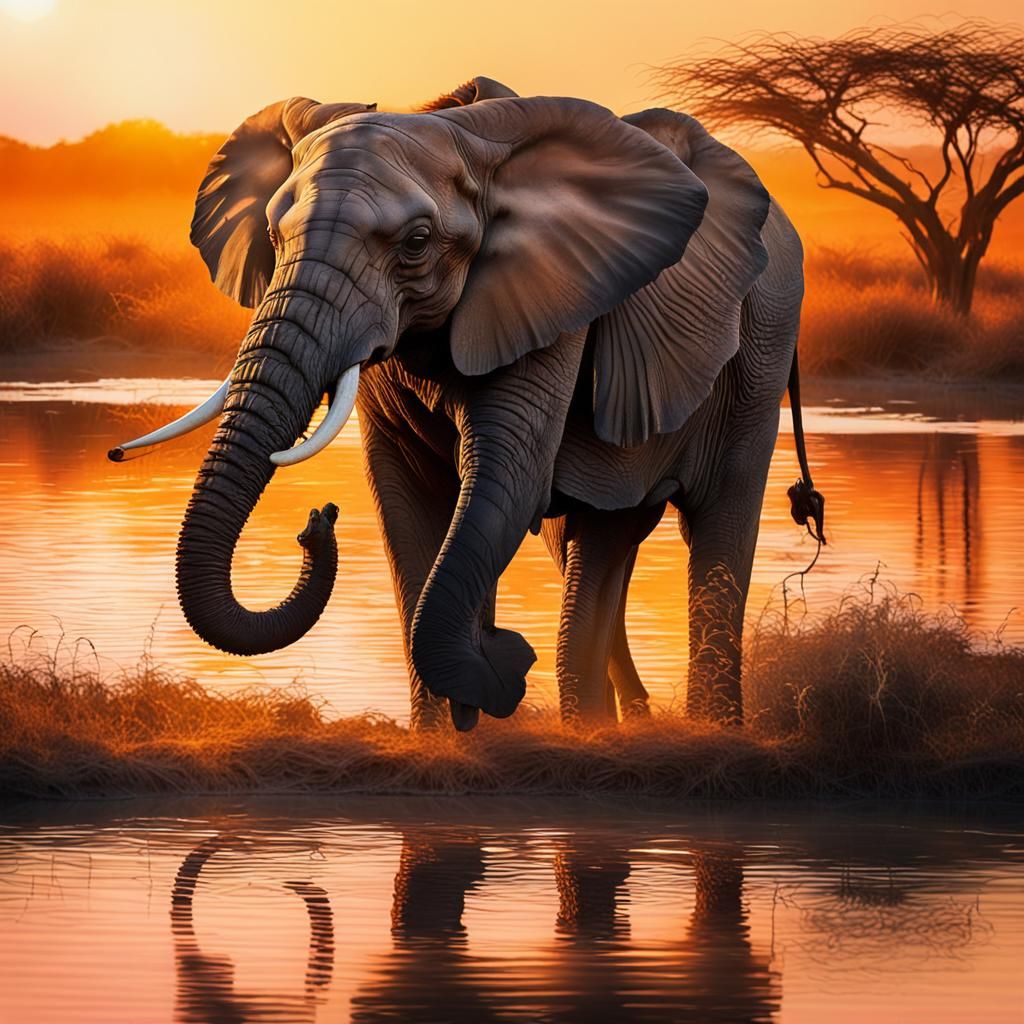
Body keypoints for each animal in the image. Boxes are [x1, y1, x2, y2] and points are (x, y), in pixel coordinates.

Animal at [109, 76, 823, 731]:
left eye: (417, 242)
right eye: (273, 236)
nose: (318, 520)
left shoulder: (551, 301)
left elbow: (502, 481)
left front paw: (492, 678)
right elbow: (408, 495)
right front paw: (450, 736)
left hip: (765, 343)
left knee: (713, 524)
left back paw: (702, 730)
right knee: (595, 539)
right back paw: (608, 724)